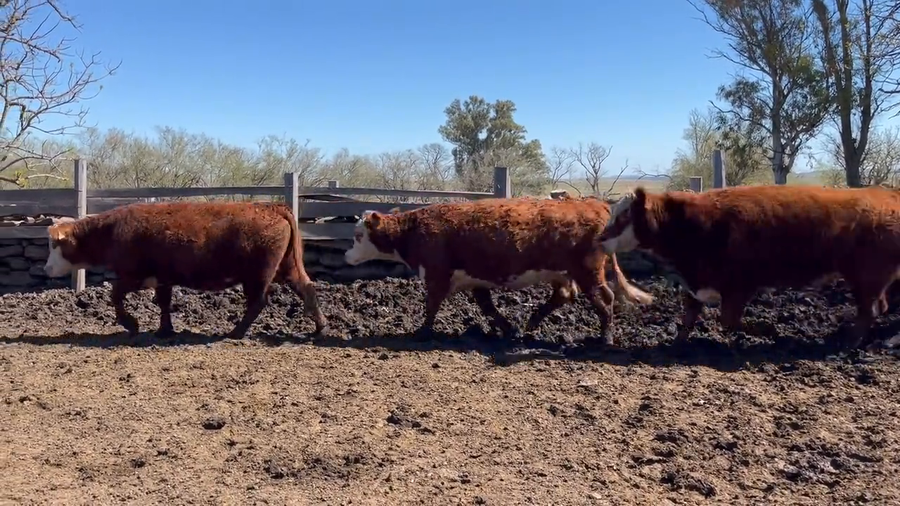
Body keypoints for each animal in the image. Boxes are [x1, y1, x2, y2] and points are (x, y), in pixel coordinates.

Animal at [43, 201, 327, 339]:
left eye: (56, 244)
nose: (46, 269)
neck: (111, 230)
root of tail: (272, 207)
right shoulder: (163, 279)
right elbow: (164, 303)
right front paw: (164, 330)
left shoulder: (135, 276)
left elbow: (115, 294)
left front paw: (131, 324)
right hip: (287, 267)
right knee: (307, 289)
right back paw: (320, 327)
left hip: (257, 276)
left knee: (258, 302)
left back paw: (236, 332)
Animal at [343, 197, 654, 344]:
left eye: (358, 235)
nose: (346, 255)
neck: (413, 230)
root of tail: (593, 203)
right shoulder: (475, 279)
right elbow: (488, 307)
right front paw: (508, 328)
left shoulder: (436, 275)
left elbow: (431, 306)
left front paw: (422, 332)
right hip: (564, 273)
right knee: (563, 296)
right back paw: (530, 324)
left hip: (588, 272)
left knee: (605, 299)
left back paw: (606, 338)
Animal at [596, 185, 900, 349]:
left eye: (623, 216)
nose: (599, 239)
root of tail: (887, 195)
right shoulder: (698, 283)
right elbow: (689, 317)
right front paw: (676, 343)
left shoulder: (738, 286)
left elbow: (729, 320)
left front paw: (770, 331)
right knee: (881, 308)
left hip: (867, 277)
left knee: (870, 310)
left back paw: (849, 341)